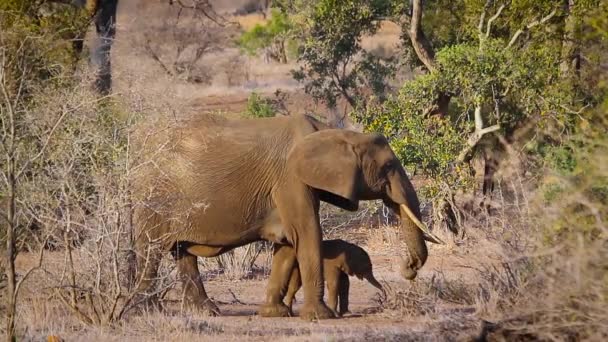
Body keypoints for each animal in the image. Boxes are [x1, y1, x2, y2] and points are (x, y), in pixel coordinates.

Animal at [133, 113, 440, 320]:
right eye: (388, 166)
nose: (409, 268)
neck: (331, 132)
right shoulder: (290, 179)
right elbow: (307, 234)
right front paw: (320, 317)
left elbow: (288, 244)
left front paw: (274, 313)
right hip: (154, 199)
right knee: (150, 251)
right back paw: (146, 310)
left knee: (182, 254)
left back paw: (206, 311)